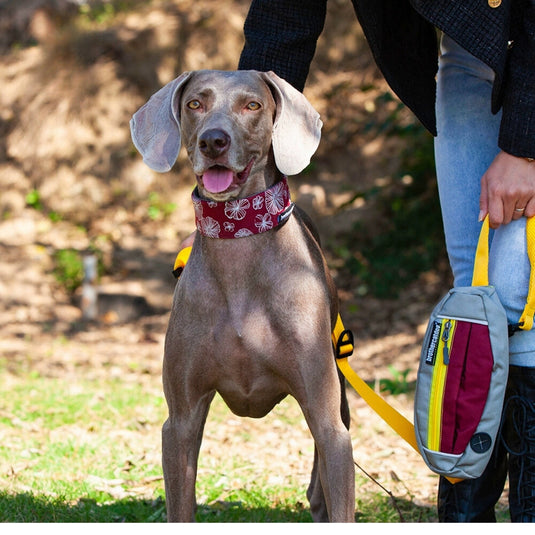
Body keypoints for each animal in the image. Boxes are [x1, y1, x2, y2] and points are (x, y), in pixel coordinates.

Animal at [130, 70, 356, 524]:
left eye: (252, 105)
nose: (213, 141)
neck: (239, 247)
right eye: (195, 104)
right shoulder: (180, 422)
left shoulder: (328, 422)